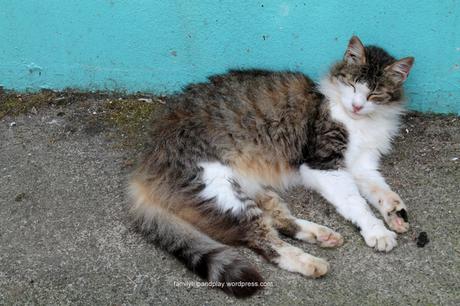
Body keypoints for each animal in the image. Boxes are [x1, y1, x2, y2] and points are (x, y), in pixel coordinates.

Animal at [128, 35, 414, 296]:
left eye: (374, 94)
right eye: (353, 86)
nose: (356, 105)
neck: (360, 123)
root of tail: (144, 165)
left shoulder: (363, 166)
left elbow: (382, 192)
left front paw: (395, 214)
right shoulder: (324, 164)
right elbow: (357, 202)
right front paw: (377, 231)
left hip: (249, 189)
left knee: (277, 219)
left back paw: (321, 234)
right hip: (220, 187)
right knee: (262, 239)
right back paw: (311, 262)